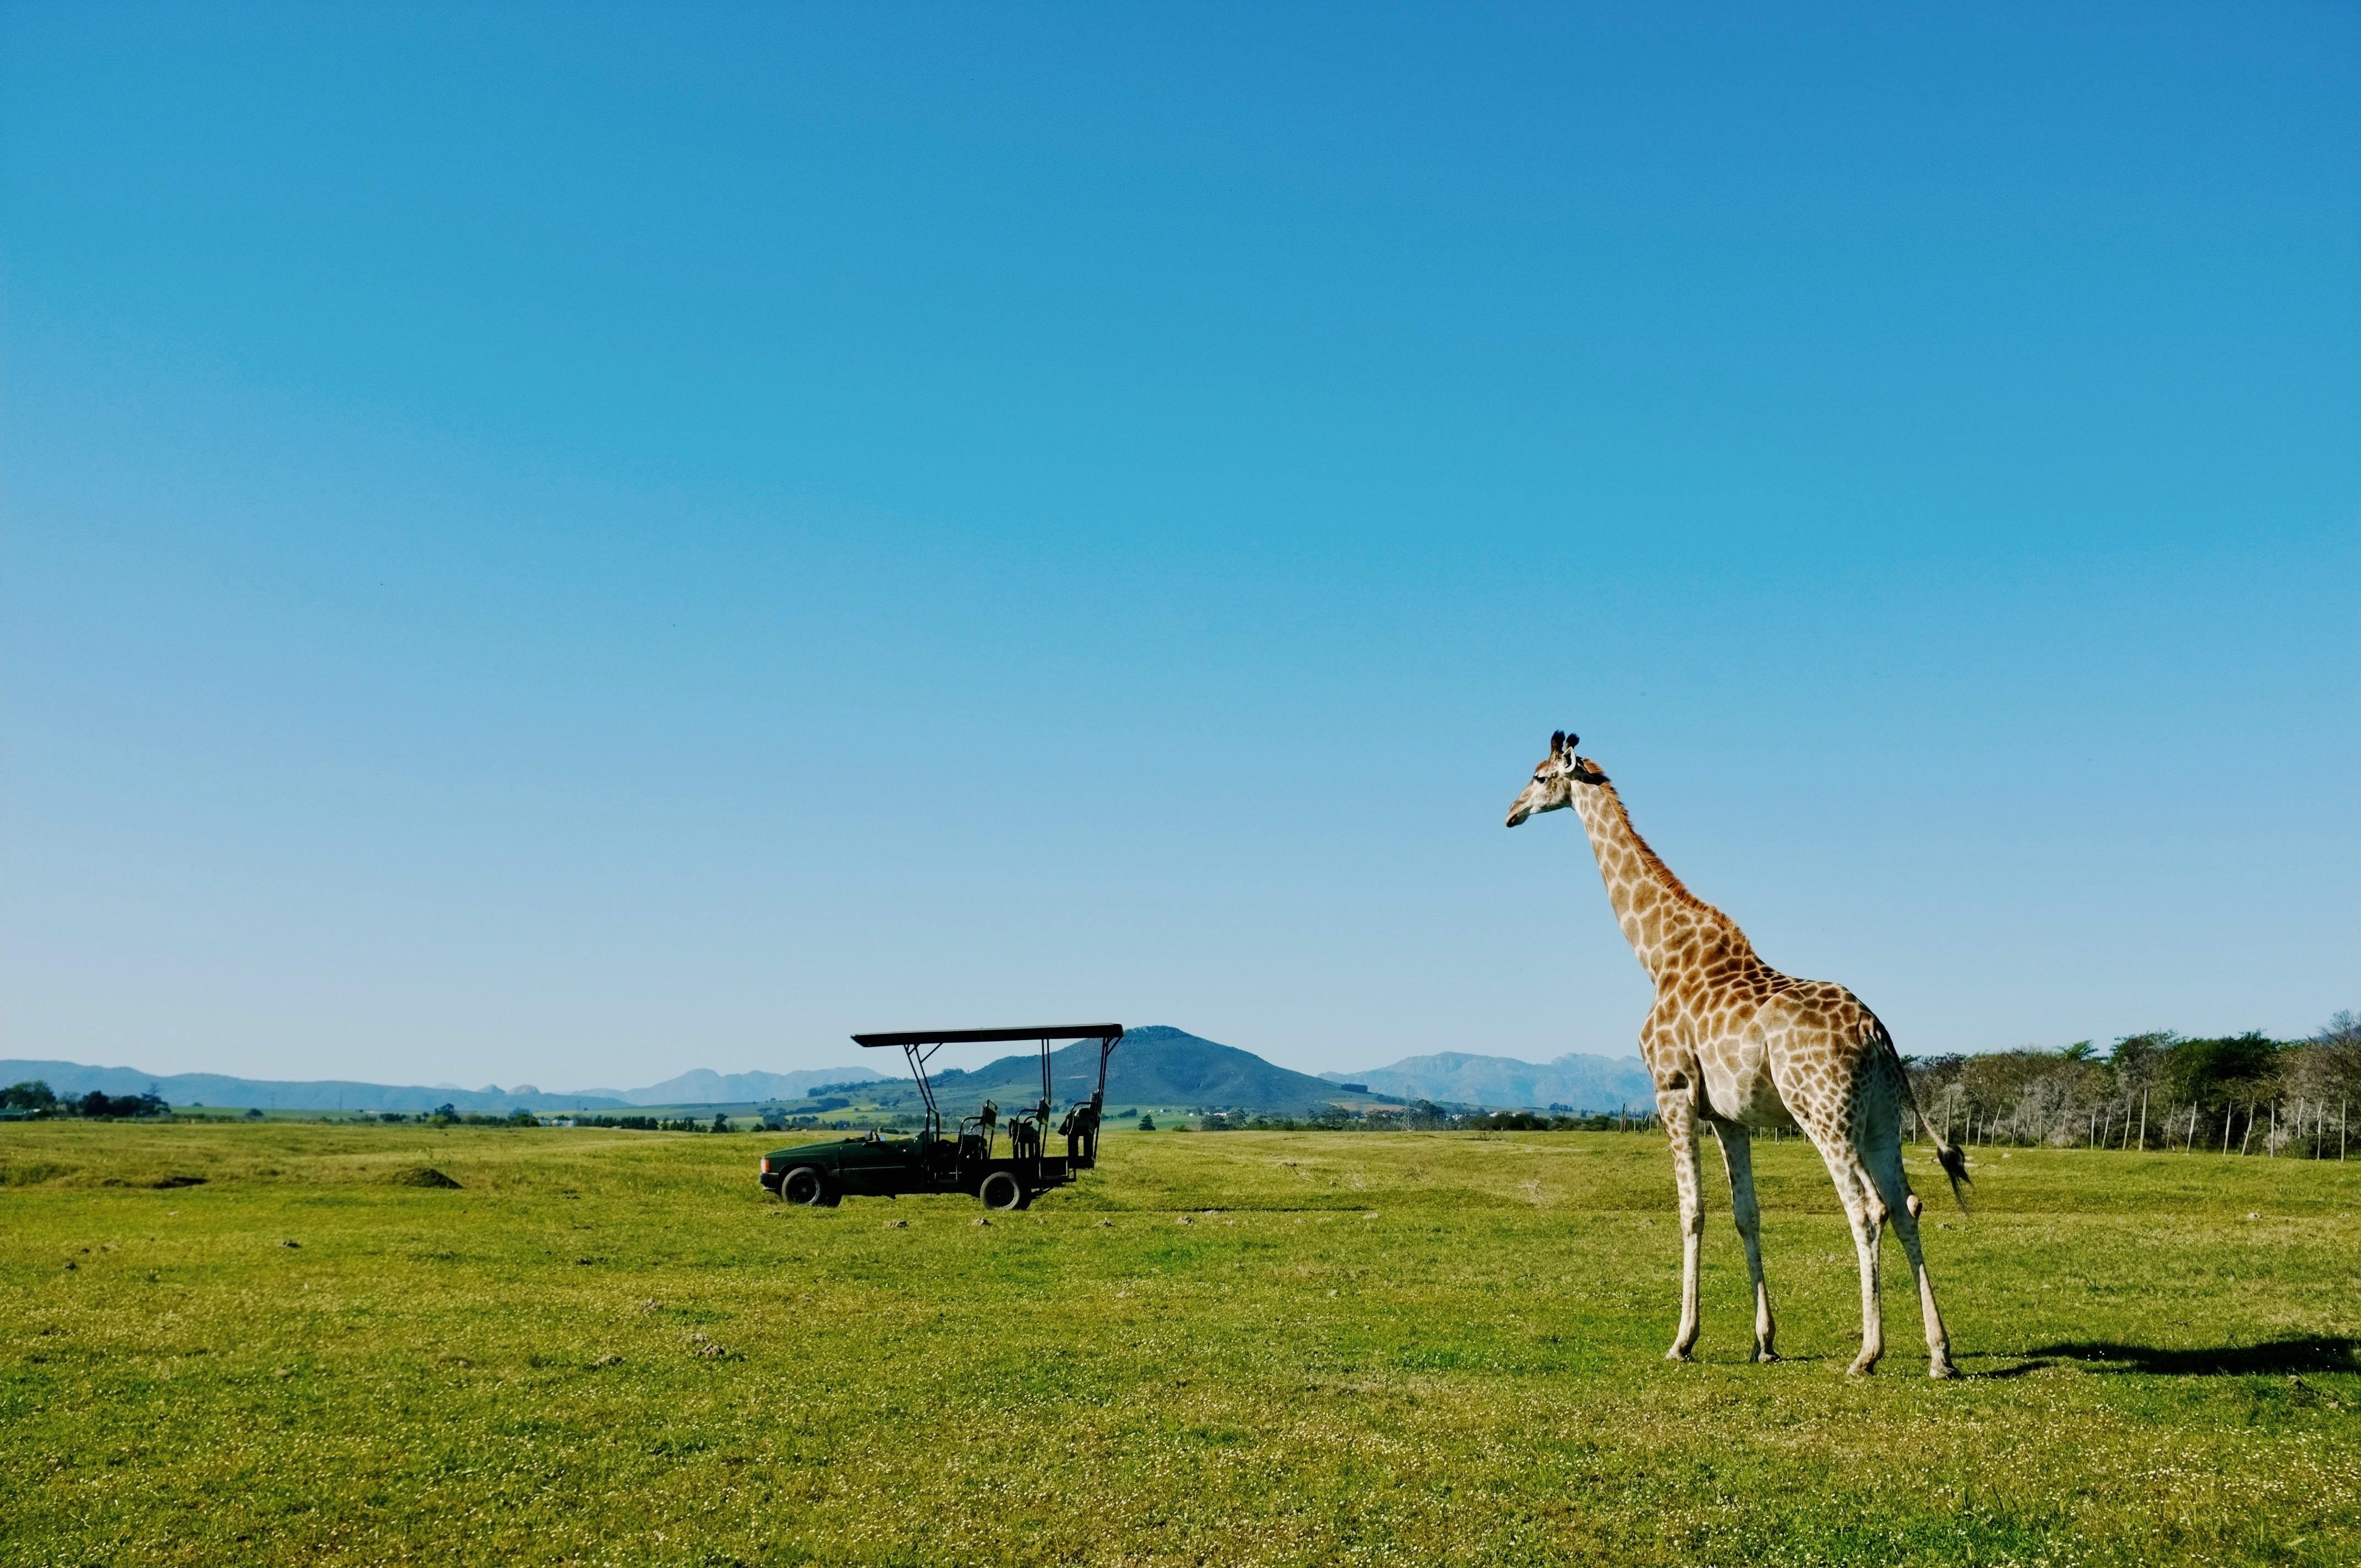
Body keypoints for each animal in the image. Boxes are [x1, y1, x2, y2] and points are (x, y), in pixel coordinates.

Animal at [1506, 730, 1969, 1377]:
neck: (1658, 956)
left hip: (1824, 1114)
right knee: (1906, 1203)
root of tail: (1879, 1033)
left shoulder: (1672, 1091)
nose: (1511, 813)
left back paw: (1867, 1353)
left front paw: (1682, 1340)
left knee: (1866, 1208)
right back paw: (1939, 1354)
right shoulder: (1730, 1116)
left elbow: (1692, 1211)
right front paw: (1765, 1342)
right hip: (1880, 1121)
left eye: (1540, 776)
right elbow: (1746, 1213)